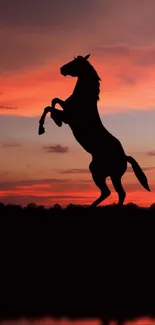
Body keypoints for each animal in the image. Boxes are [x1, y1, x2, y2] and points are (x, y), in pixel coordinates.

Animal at [37, 53, 150, 205]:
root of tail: (125, 156)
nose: (62, 69)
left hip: (104, 174)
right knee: (112, 193)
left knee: (114, 192)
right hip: (104, 174)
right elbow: (53, 101)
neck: (84, 99)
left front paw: (44, 127)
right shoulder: (67, 113)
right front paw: (54, 121)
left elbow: (50, 106)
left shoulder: (69, 117)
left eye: (75, 62)